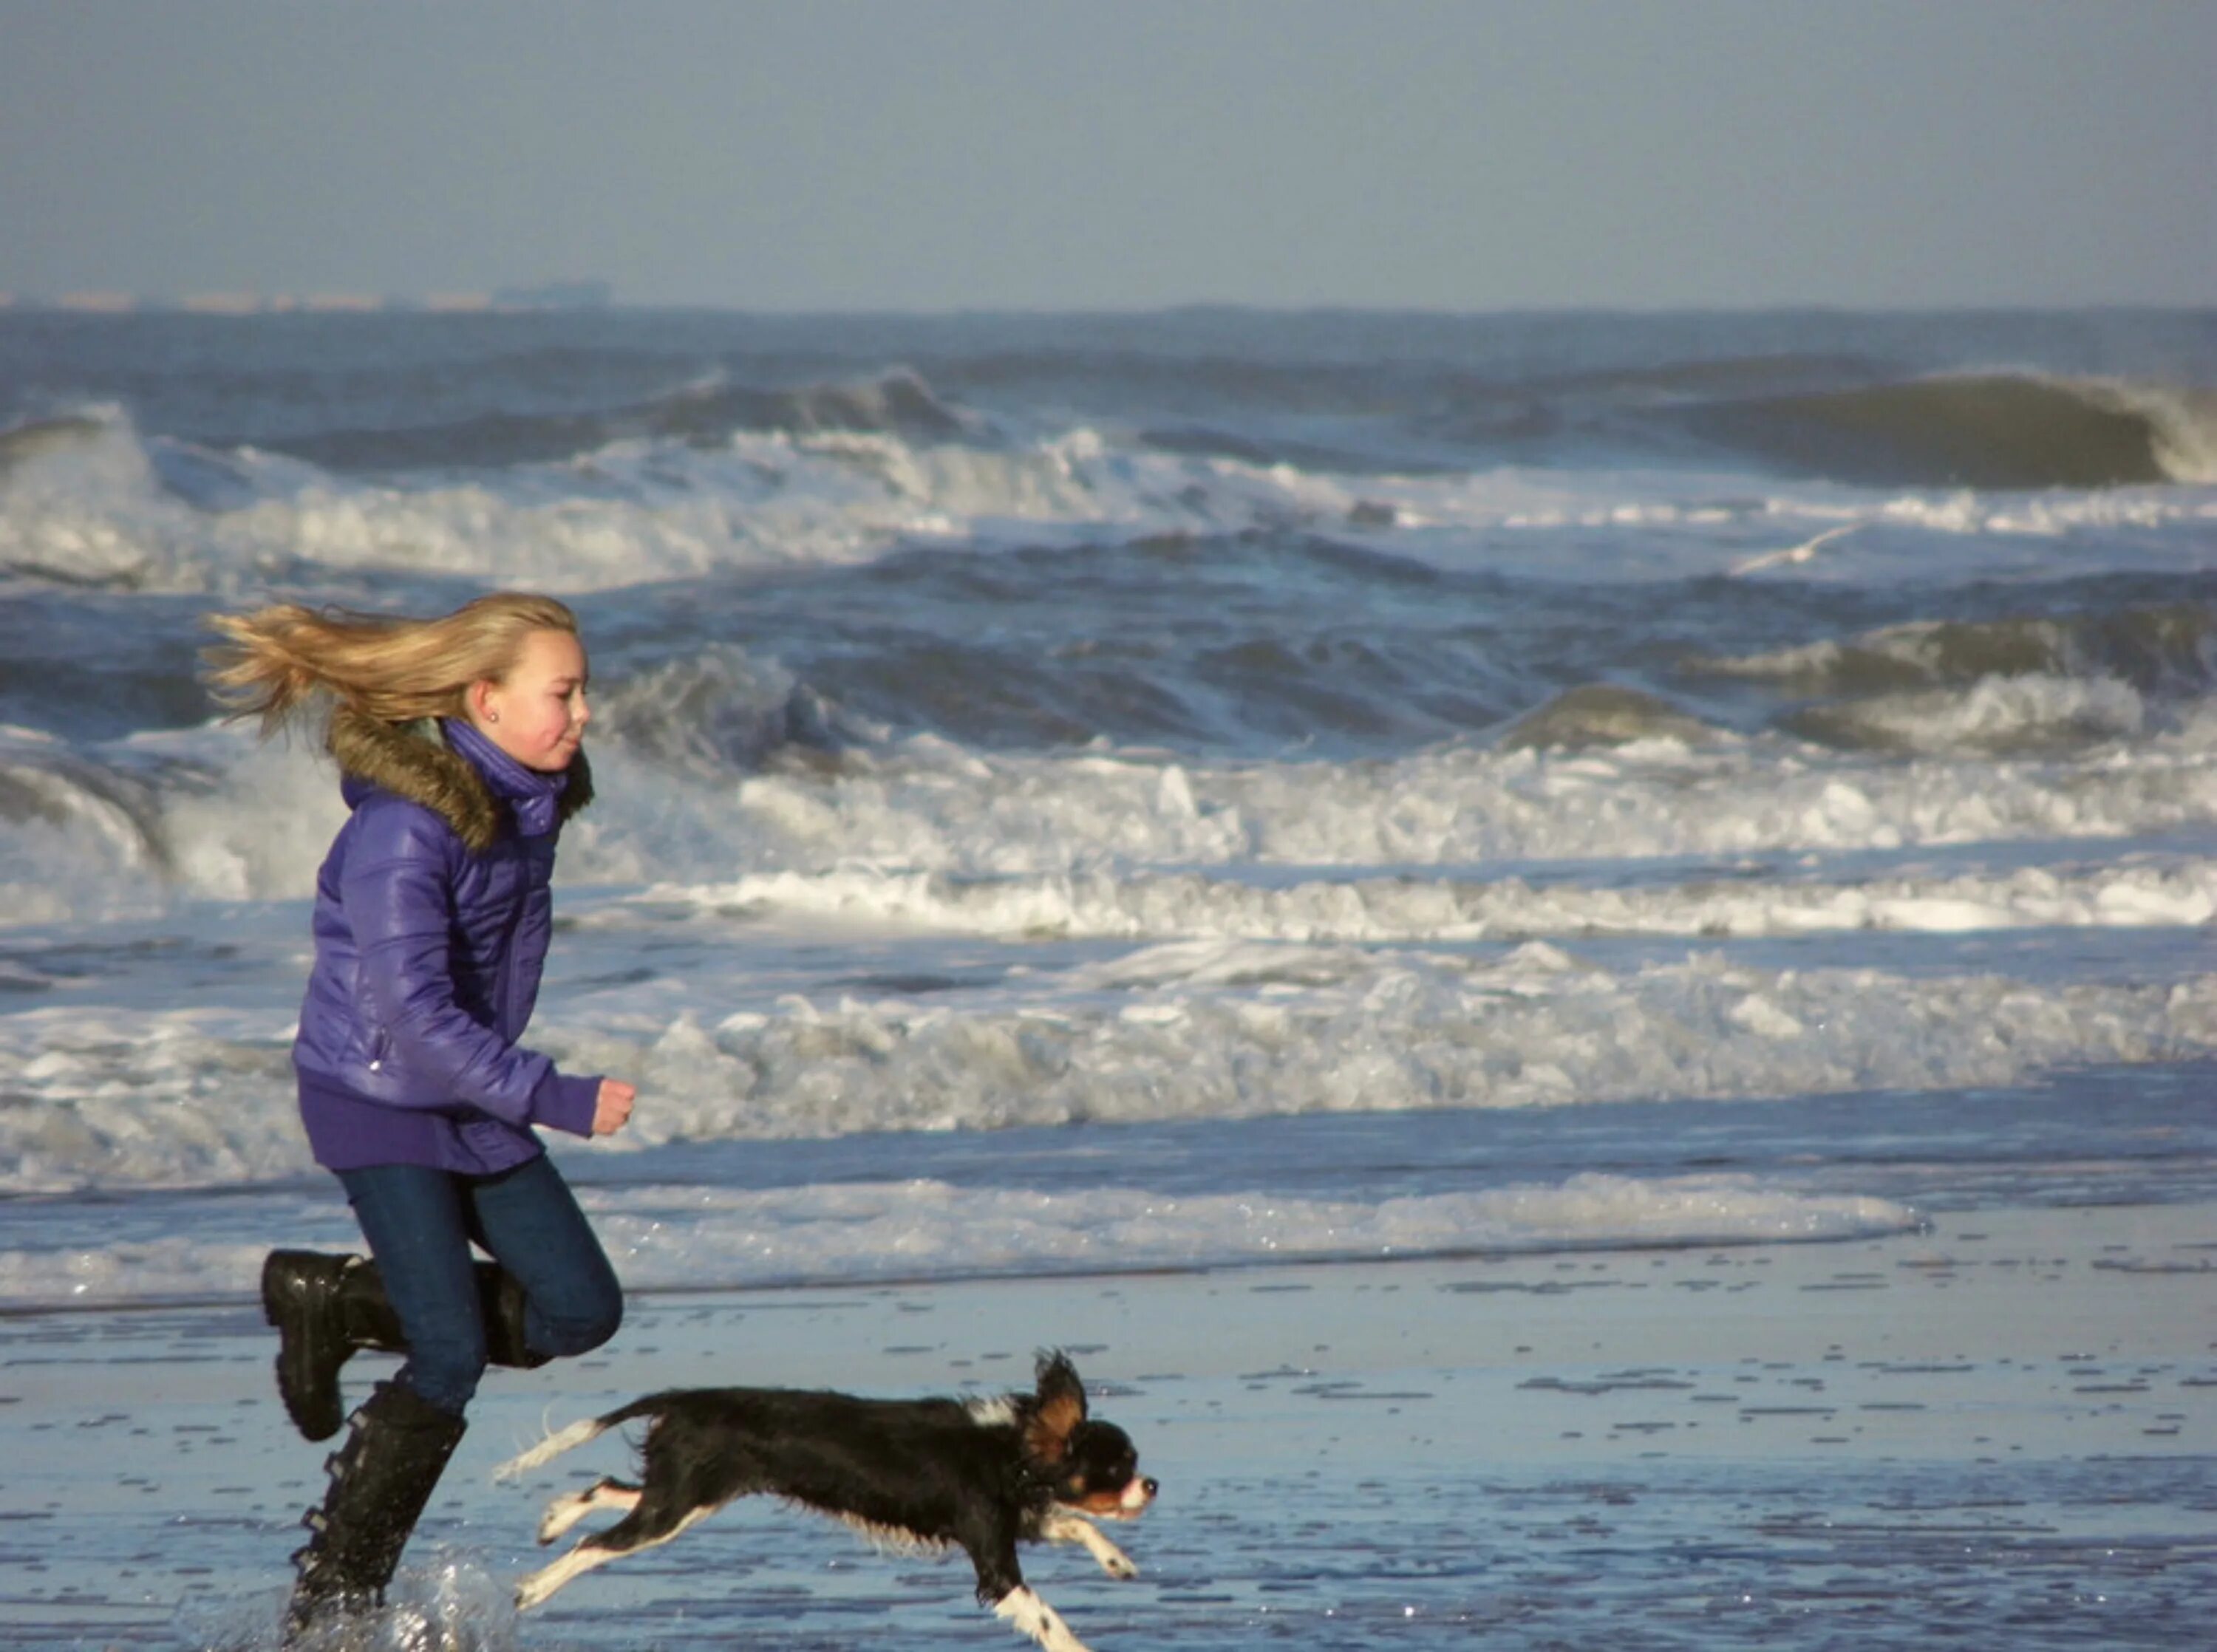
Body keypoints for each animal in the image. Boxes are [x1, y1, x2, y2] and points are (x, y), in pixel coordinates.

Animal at [499, 1348, 1162, 1640]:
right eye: (1117, 1467)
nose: (1152, 1485)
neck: (1009, 1446)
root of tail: (685, 1400)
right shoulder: (993, 1555)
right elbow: (1047, 1616)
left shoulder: (1013, 1516)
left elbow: (1074, 1522)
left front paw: (1118, 1562)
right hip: (679, 1505)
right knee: (596, 1544)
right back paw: (534, 1587)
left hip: (691, 1495)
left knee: (610, 1490)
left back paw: (554, 1518)